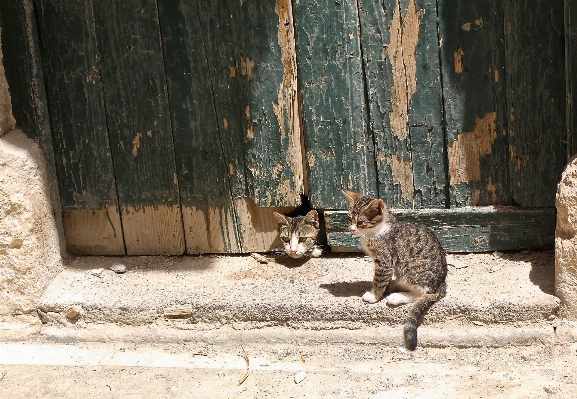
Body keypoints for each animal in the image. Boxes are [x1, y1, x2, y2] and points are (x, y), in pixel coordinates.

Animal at [342, 191, 446, 350]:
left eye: (360, 222)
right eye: (349, 218)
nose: (352, 229)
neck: (375, 232)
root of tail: (441, 283)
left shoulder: (384, 262)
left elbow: (379, 282)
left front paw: (374, 296)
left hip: (410, 269)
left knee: (423, 293)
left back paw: (396, 297)